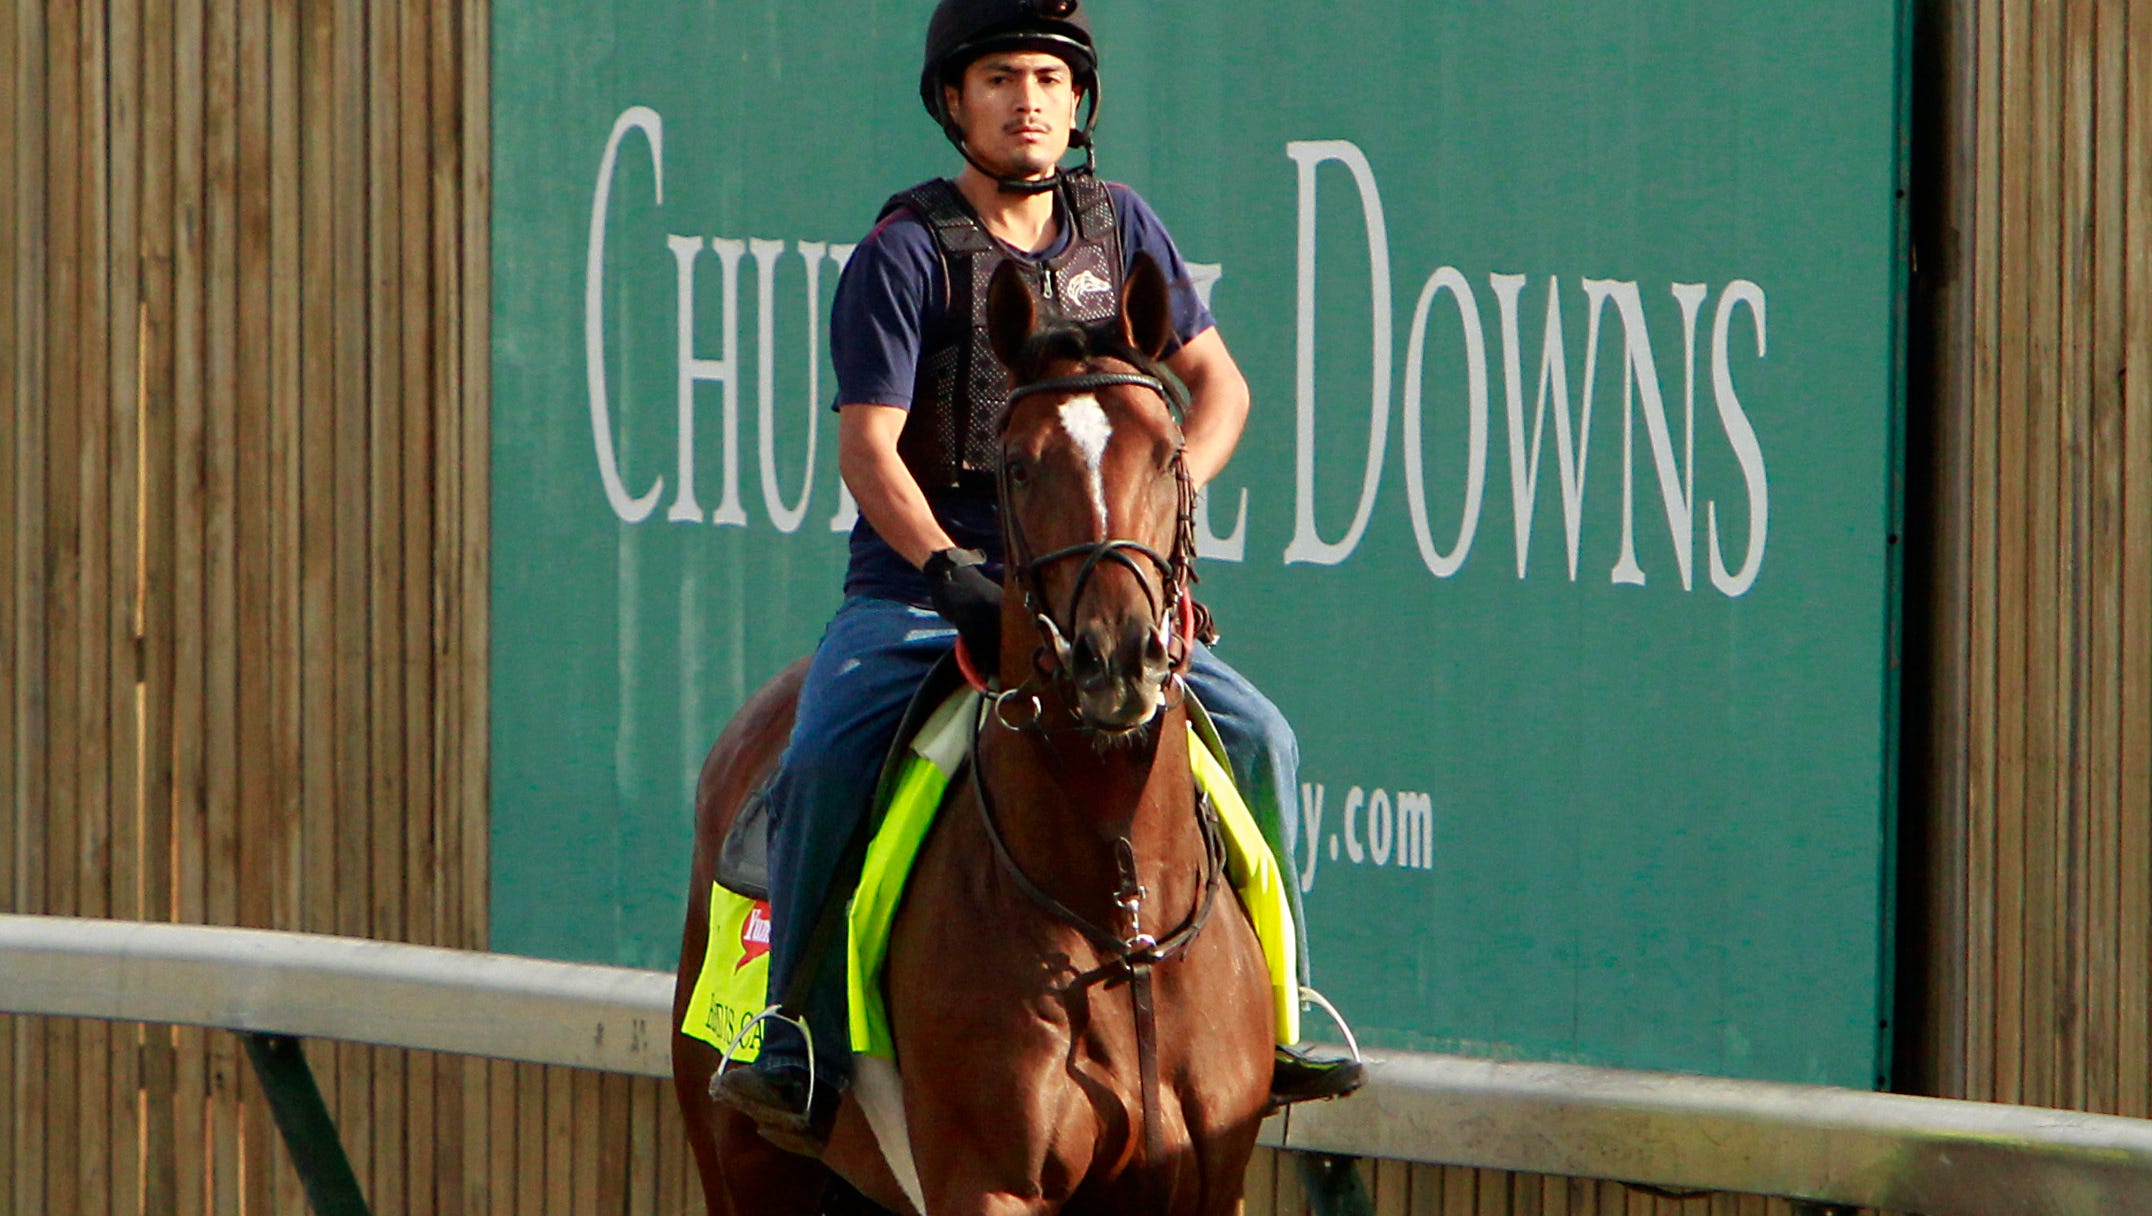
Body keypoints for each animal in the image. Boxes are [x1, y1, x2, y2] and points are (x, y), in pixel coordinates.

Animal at [671, 256, 1265, 1213]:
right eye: (1017, 467)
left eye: (1168, 455)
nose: (1116, 657)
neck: (1118, 907)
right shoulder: (988, 1183)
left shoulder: (1211, 1182)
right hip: (742, 1160)